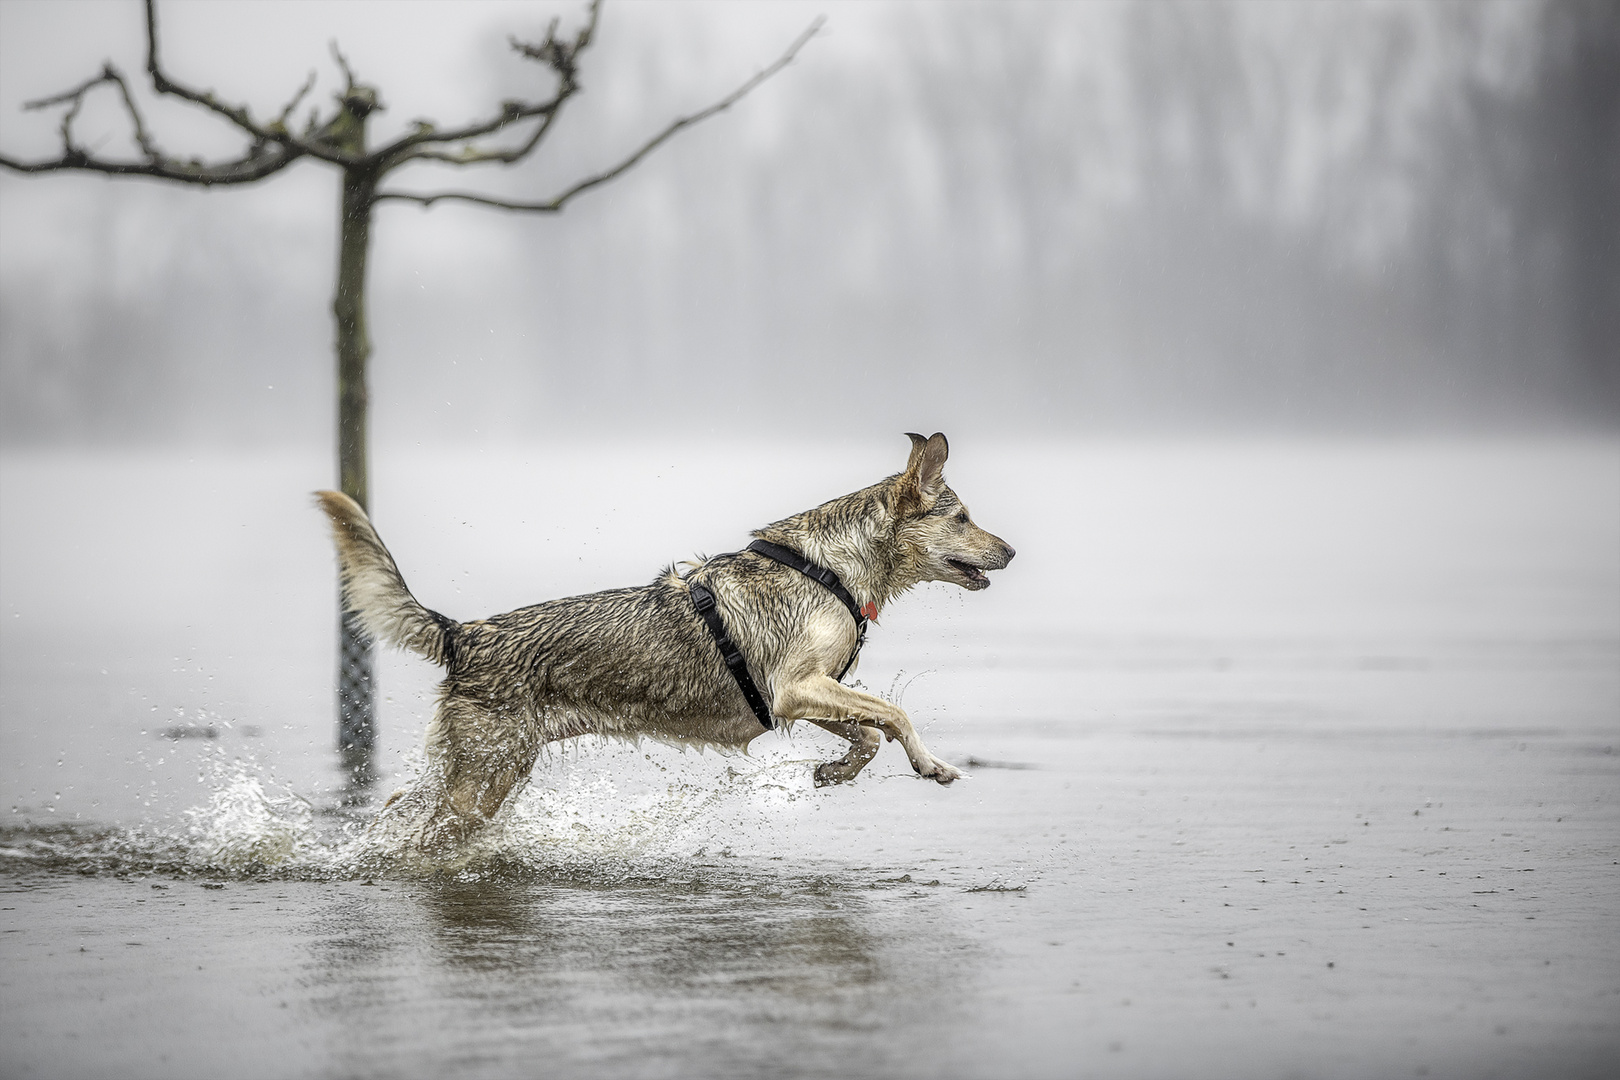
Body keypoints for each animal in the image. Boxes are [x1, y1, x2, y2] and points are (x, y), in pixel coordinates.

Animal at [315, 430, 1010, 854]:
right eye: (963, 518)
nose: (1010, 551)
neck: (830, 568)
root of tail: (462, 634)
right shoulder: (796, 688)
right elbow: (896, 713)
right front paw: (931, 764)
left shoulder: (804, 693)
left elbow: (868, 732)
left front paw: (834, 771)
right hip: (484, 776)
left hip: (485, 769)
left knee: (399, 804)